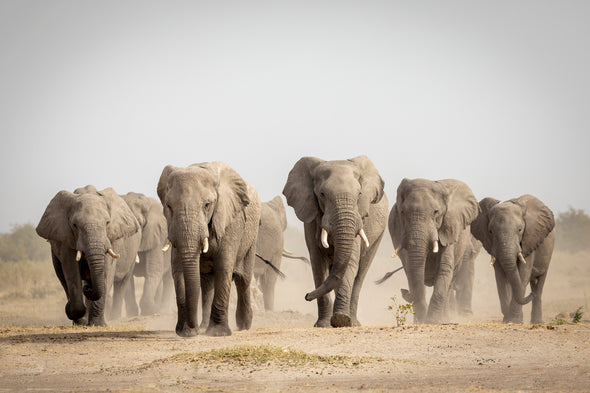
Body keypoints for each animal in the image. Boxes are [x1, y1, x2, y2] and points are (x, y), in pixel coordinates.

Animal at [35, 184, 141, 324]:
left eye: (107, 223)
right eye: (75, 225)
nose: (88, 289)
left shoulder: (111, 238)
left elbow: (106, 270)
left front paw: (98, 325)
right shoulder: (66, 238)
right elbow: (71, 270)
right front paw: (79, 318)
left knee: (121, 283)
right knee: (62, 277)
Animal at [157, 161, 262, 336]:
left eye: (207, 205)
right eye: (169, 206)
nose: (193, 327)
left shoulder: (231, 220)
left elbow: (224, 267)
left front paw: (218, 333)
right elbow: (178, 270)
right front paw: (186, 333)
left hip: (252, 235)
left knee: (243, 279)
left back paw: (244, 325)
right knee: (207, 284)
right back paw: (204, 327)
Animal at [282, 155, 388, 326]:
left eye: (359, 194)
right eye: (322, 194)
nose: (307, 296)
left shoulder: (358, 219)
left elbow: (350, 262)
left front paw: (341, 320)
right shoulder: (311, 219)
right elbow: (318, 264)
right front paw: (323, 325)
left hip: (378, 235)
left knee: (360, 274)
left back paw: (354, 322)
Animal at [390, 177, 484, 322]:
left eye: (436, 212)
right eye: (402, 212)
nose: (404, 291)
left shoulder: (450, 228)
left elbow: (444, 268)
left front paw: (432, 321)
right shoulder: (399, 230)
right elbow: (411, 270)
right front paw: (421, 321)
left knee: (449, 284)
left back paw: (445, 319)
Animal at [472, 194, 560, 324]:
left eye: (520, 230)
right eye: (490, 231)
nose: (530, 294)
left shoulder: (530, 240)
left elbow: (523, 273)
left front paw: (514, 321)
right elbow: (501, 276)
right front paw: (508, 319)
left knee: (539, 283)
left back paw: (537, 320)